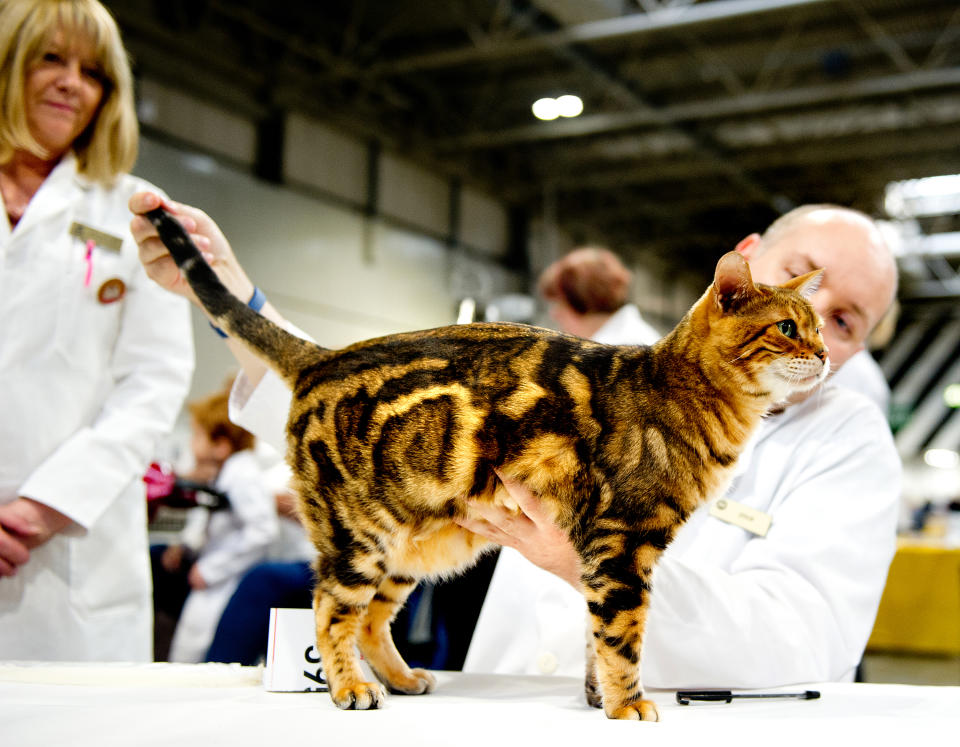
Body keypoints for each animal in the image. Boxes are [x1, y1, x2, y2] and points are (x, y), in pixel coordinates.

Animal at [146, 207, 828, 720]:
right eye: (787, 328)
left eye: (821, 327)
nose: (823, 355)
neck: (692, 395)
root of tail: (326, 356)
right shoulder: (622, 544)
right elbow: (622, 635)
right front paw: (626, 703)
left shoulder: (602, 554)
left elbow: (593, 634)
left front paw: (596, 695)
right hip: (359, 536)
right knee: (332, 611)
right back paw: (350, 687)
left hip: (416, 544)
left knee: (372, 620)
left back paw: (402, 679)